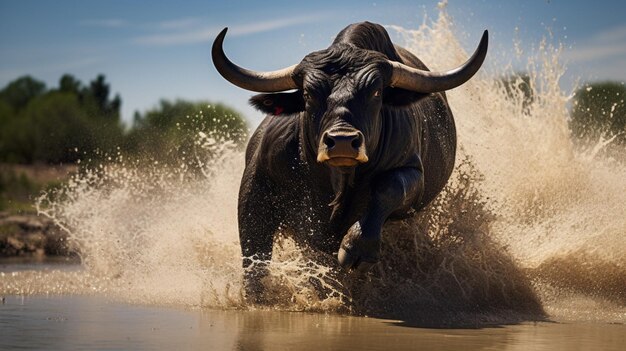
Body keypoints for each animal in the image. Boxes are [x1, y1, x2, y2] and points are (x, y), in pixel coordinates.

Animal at [212, 21, 486, 300]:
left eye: (376, 92)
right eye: (308, 94)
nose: (342, 141)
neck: (337, 180)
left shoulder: (412, 173)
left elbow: (388, 188)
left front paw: (356, 247)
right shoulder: (258, 187)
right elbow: (255, 257)